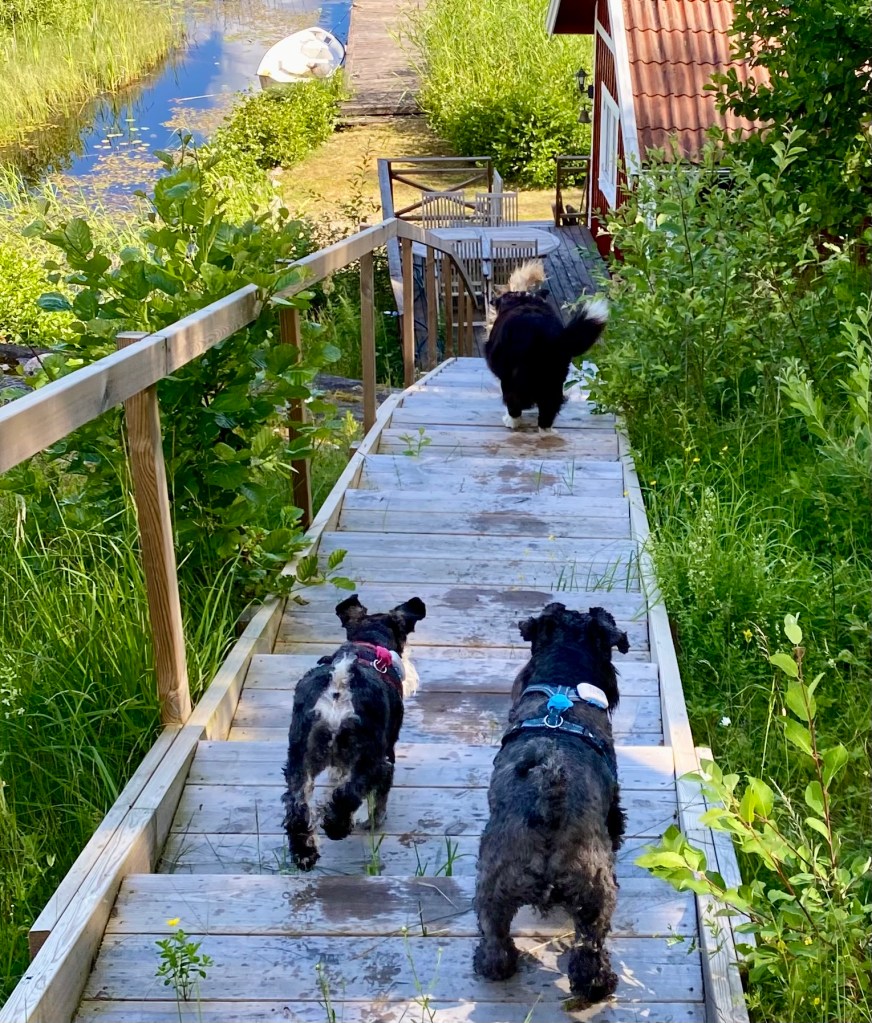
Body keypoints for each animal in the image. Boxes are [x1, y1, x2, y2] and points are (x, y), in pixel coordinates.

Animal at [281, 593, 426, 871]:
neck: (368, 644)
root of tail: (339, 685)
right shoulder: (386, 756)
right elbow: (378, 797)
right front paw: (374, 822)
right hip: (371, 757)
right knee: (350, 793)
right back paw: (337, 826)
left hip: (300, 759)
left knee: (297, 805)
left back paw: (304, 853)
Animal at [484, 261, 608, 434]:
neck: (525, 301)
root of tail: (544, 334)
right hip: (555, 378)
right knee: (549, 408)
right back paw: (546, 430)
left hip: (514, 375)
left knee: (514, 401)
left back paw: (512, 421)